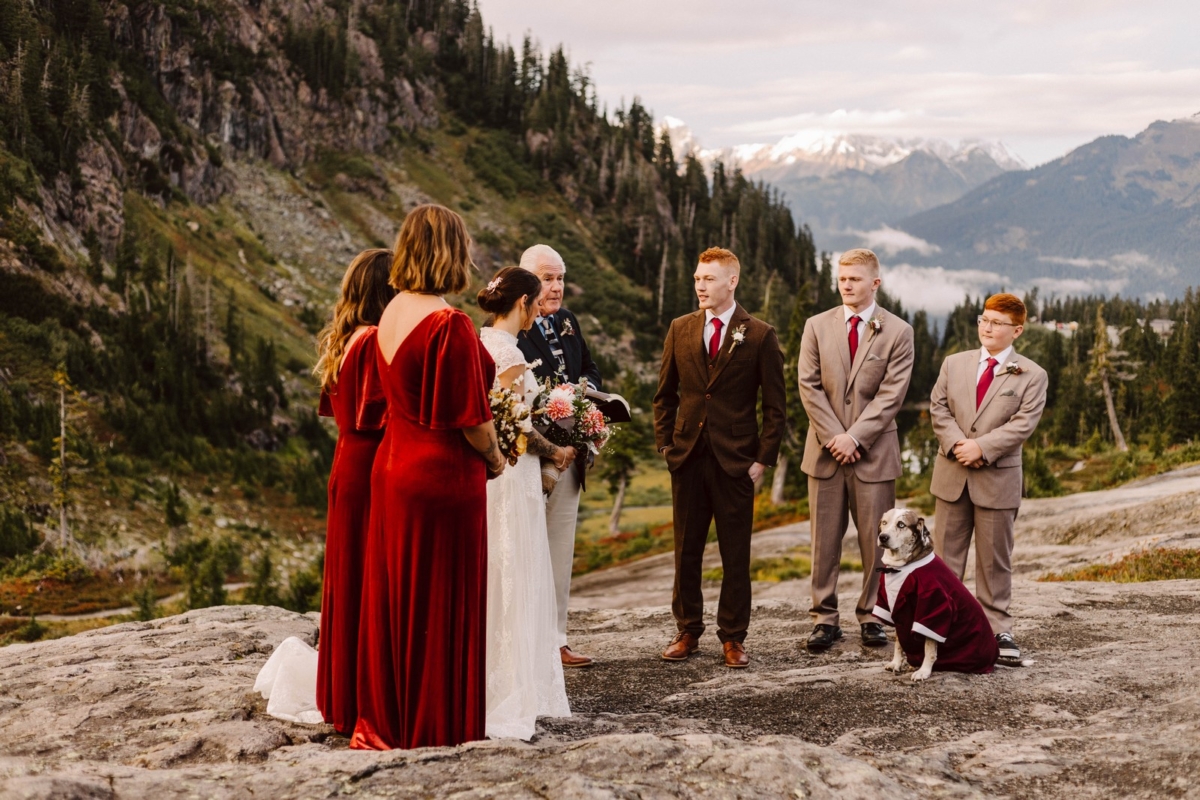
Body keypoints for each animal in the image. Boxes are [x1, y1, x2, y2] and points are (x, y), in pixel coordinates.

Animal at [874, 508, 999, 681]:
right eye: (884, 522)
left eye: (901, 524)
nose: (883, 537)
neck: (901, 568)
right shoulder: (897, 611)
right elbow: (899, 643)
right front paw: (896, 663)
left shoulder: (933, 608)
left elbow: (929, 648)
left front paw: (924, 671)